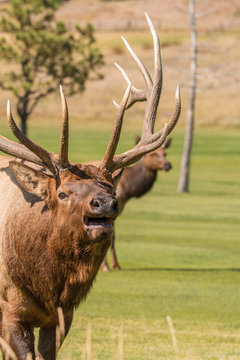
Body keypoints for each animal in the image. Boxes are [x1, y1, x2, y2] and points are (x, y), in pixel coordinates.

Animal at [102, 136, 173, 272]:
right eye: (152, 154)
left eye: (165, 153)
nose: (168, 165)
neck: (128, 189)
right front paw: (106, 266)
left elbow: (112, 236)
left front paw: (116, 265)